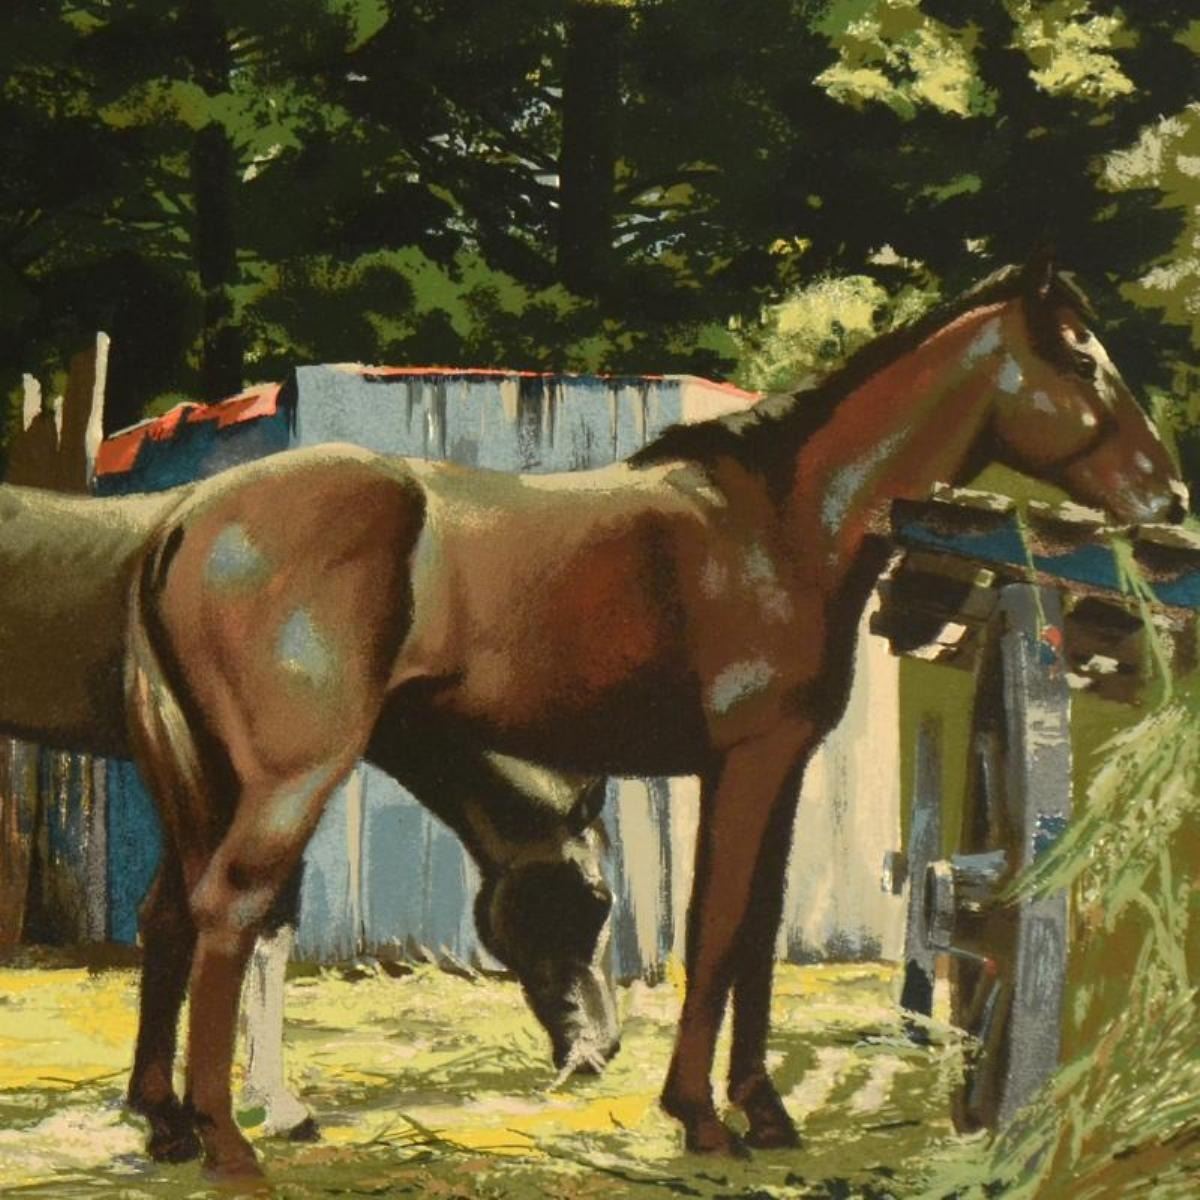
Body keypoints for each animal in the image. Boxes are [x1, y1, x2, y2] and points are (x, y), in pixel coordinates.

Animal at [2, 256, 1186, 1177]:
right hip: (289, 779)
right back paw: (229, 1137)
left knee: (174, 916)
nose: (1168, 496)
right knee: (226, 914)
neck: (779, 522)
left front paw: (762, 1109)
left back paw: (168, 1124)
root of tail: (185, 519)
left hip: (207, 779)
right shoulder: (745, 764)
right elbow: (717, 931)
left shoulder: (780, 768)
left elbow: (755, 936)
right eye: (1083, 363)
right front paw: (702, 1116)